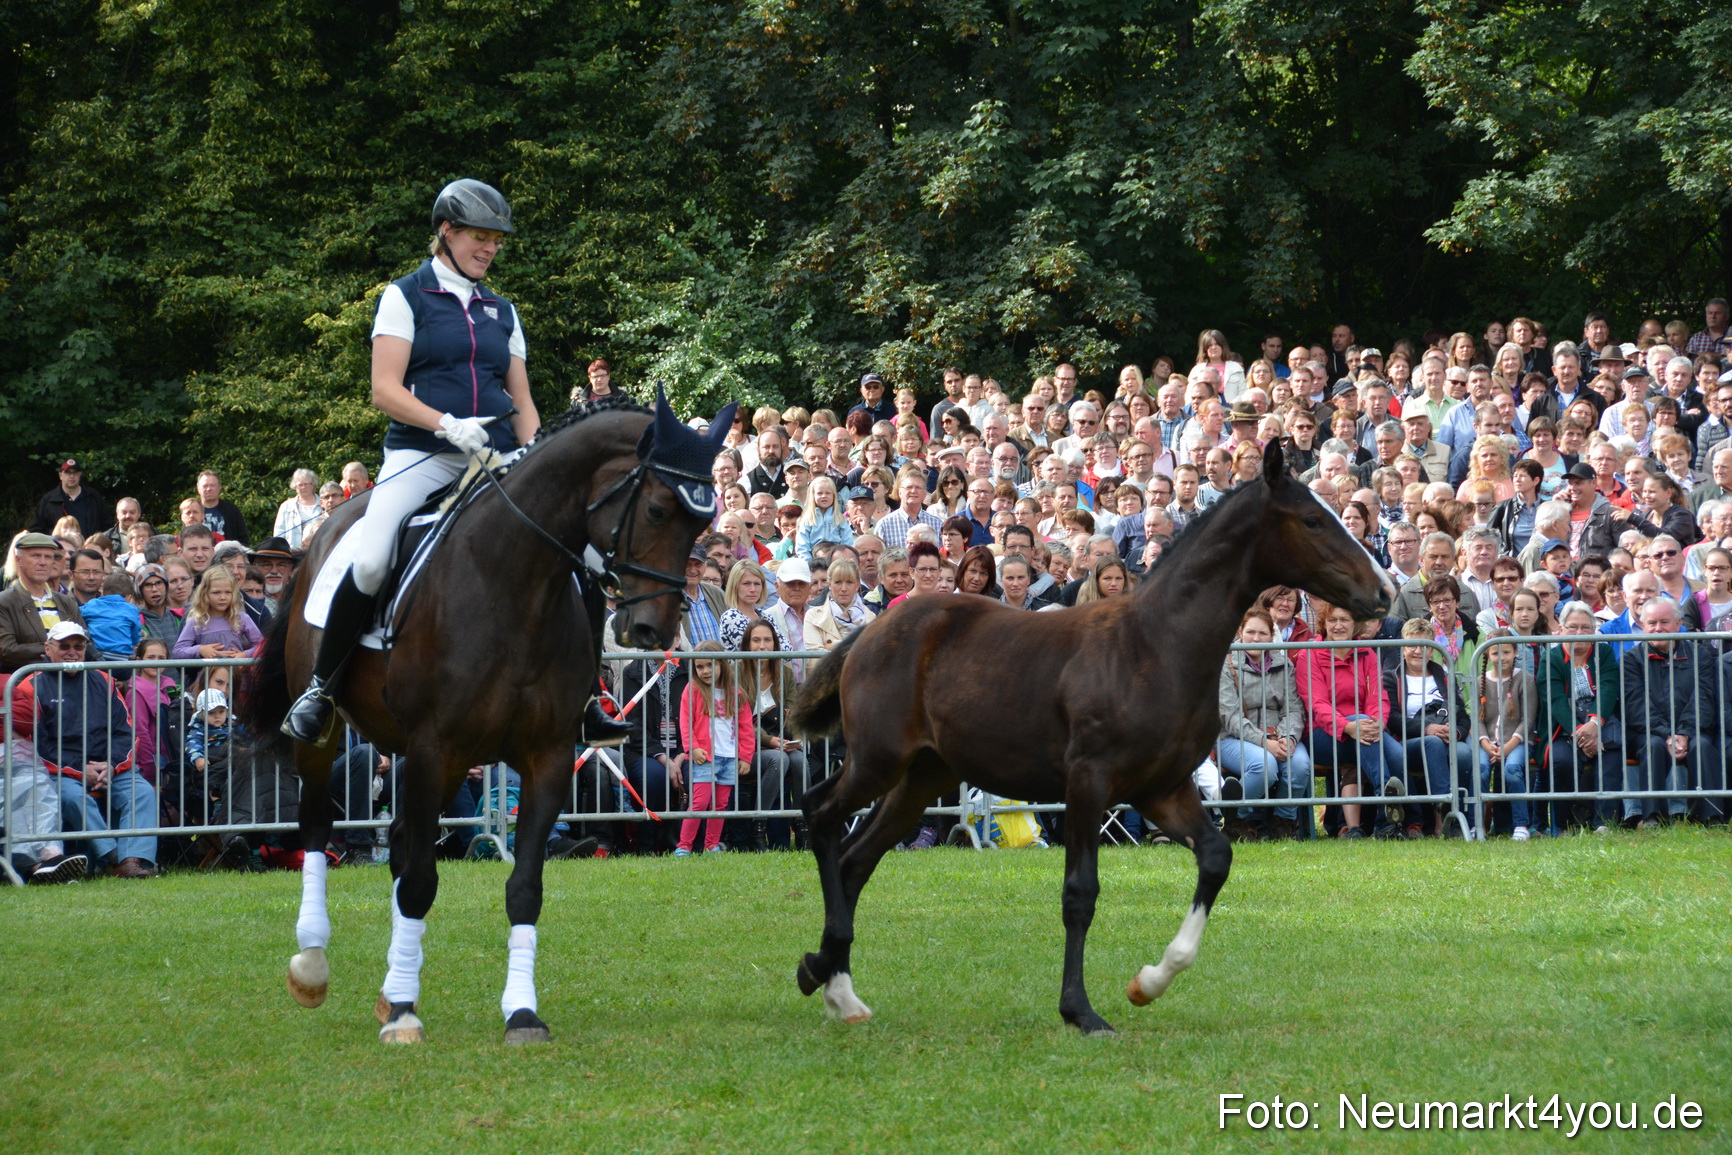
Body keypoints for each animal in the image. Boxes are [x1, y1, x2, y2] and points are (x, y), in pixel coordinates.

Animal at [243, 389, 735, 1044]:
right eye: (657, 510)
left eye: (701, 523)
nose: (652, 629)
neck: (513, 582)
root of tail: (328, 530)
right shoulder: (437, 747)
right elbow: (421, 881)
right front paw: (404, 1013)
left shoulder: (545, 758)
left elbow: (523, 888)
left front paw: (519, 1013)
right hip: (331, 738)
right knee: (320, 827)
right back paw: (314, 964)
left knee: (399, 843)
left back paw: (388, 987)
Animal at [787, 443, 1396, 1035]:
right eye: (1313, 520)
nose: (1385, 591)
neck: (1156, 645)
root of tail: (871, 632)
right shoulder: (1088, 782)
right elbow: (1080, 894)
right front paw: (1080, 1010)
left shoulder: (1162, 788)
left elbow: (1217, 856)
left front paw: (1147, 983)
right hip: (878, 760)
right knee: (820, 812)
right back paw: (826, 969)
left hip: (921, 777)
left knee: (856, 859)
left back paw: (834, 985)